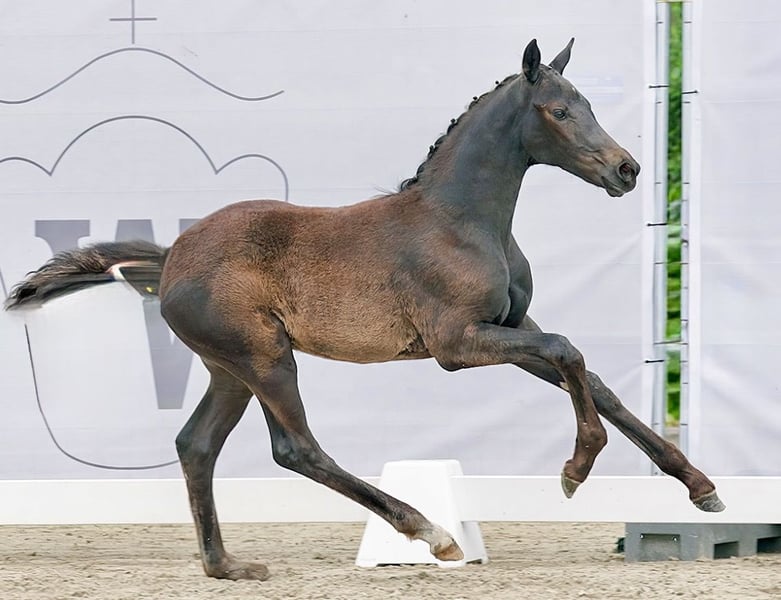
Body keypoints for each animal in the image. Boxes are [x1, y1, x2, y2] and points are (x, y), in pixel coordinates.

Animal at [5, 39, 724, 581]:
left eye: (587, 105)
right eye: (557, 111)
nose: (627, 170)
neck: (460, 220)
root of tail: (174, 254)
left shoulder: (509, 326)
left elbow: (591, 376)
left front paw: (698, 485)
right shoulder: (456, 344)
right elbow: (570, 351)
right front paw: (576, 469)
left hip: (227, 368)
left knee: (196, 444)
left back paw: (225, 566)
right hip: (265, 358)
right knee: (295, 448)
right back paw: (430, 533)